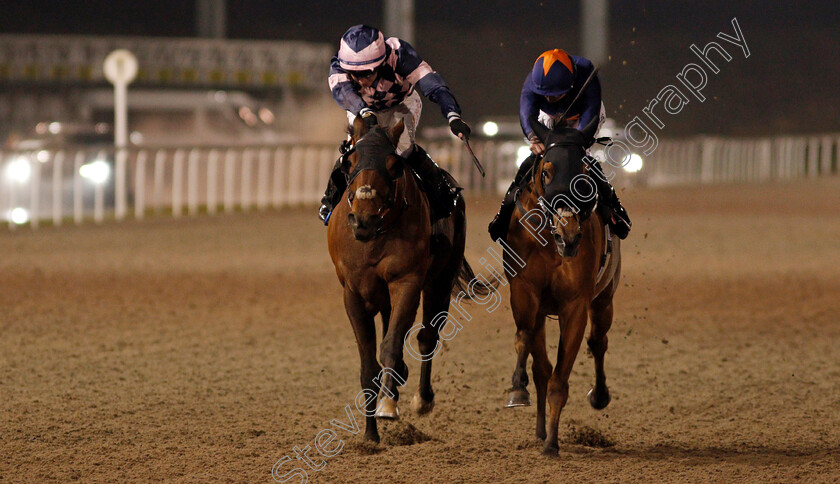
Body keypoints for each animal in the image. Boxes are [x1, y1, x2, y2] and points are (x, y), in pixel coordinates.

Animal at [328, 116, 486, 442]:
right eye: (350, 162)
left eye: (393, 165)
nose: (362, 220)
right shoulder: (353, 293)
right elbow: (368, 365)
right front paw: (370, 436)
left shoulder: (407, 282)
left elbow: (391, 345)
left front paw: (388, 406)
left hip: (440, 281)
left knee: (427, 337)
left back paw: (422, 398)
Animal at [498, 115, 624, 456]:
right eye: (546, 171)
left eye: (585, 173)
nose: (568, 237)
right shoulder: (524, 292)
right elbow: (524, 340)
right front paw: (517, 388)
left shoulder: (576, 305)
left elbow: (559, 379)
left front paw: (552, 443)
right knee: (541, 365)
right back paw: (539, 425)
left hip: (605, 299)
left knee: (599, 342)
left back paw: (598, 395)